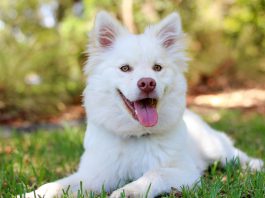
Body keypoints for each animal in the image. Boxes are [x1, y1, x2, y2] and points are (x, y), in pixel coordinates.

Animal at [22, 11, 262, 198]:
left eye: (157, 68)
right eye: (125, 68)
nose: (147, 82)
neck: (135, 136)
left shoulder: (184, 171)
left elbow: (153, 174)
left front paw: (128, 191)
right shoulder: (93, 175)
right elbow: (57, 185)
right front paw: (31, 193)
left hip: (215, 148)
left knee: (236, 155)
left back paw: (257, 165)